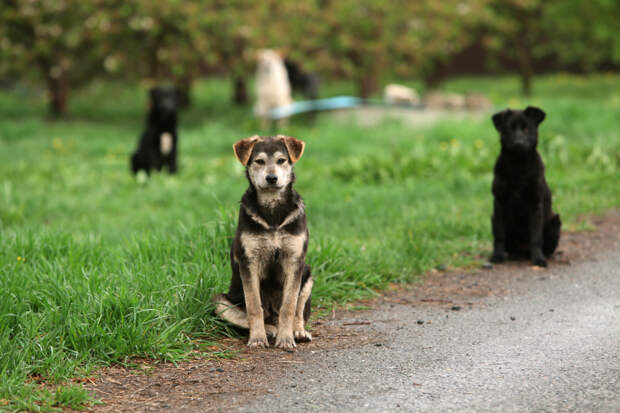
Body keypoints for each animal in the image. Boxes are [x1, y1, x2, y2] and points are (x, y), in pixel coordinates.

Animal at [213, 134, 312, 348]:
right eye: (259, 161)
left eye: (281, 160)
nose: (272, 178)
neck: (273, 209)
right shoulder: (249, 260)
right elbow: (254, 306)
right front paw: (257, 338)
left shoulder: (295, 260)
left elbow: (289, 306)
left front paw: (286, 339)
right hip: (220, 301)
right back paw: (269, 330)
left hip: (308, 274)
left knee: (298, 310)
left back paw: (297, 331)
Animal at [490, 106, 560, 268]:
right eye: (509, 129)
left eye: (527, 129)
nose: (518, 143)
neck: (518, 165)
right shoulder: (499, 203)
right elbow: (499, 235)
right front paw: (497, 256)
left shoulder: (535, 204)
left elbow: (536, 237)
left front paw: (538, 259)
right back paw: (513, 255)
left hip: (555, 222)